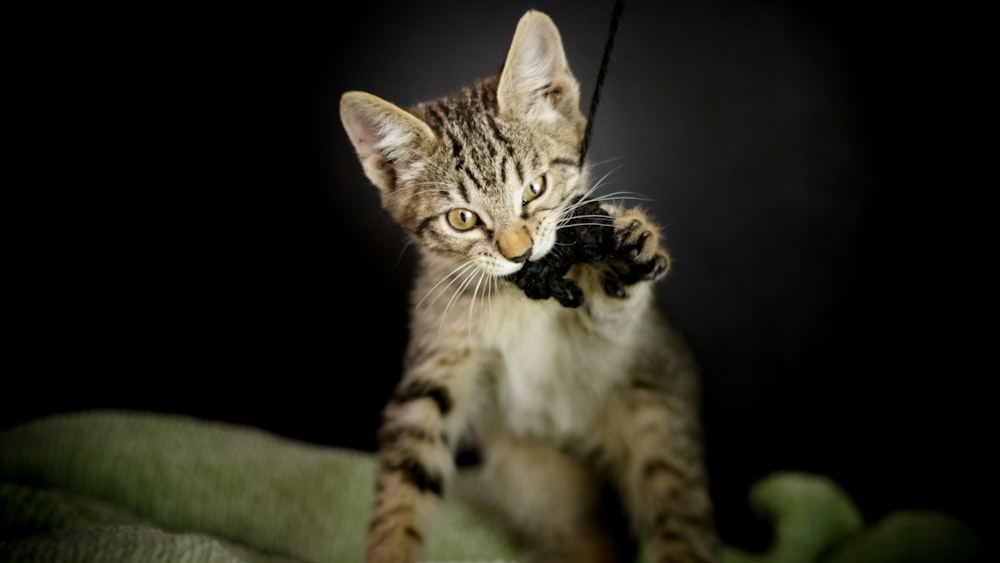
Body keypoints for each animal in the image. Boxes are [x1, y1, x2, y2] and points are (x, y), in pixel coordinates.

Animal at [342, 8, 720, 563]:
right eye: (462, 218)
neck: (515, 295)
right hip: (532, 477)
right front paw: (391, 547)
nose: (518, 252)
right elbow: (406, 478)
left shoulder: (605, 351)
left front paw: (623, 263)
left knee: (679, 519)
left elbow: (608, 318)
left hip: (656, 424)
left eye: (534, 189)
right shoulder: (437, 365)